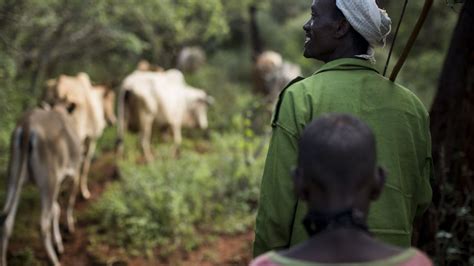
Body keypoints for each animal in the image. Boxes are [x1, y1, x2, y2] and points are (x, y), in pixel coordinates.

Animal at [0, 106, 82, 266]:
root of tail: (28, 123)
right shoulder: (74, 173)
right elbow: (68, 202)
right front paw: (69, 227)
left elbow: (56, 209)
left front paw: (59, 243)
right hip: (48, 180)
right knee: (43, 224)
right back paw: (54, 260)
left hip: (13, 177)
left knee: (7, 221)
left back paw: (2, 260)